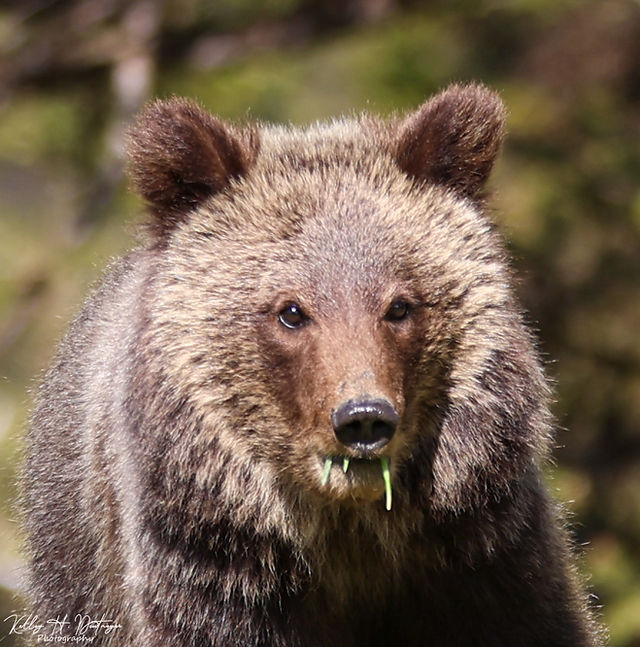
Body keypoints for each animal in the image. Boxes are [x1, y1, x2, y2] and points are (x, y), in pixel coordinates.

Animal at [22, 83, 605, 646]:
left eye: (400, 305)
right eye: (291, 311)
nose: (363, 418)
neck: (349, 537)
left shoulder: (483, 559)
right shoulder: (213, 575)